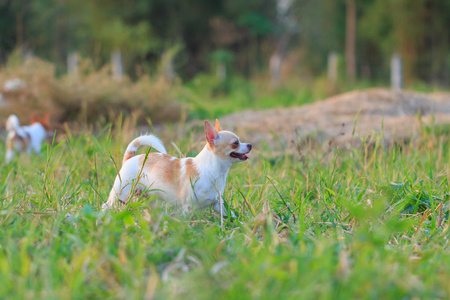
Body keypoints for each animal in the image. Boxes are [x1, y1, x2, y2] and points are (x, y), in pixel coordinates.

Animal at [101, 119, 253, 220]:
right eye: (236, 143)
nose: (250, 145)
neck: (214, 171)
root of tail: (130, 158)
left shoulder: (218, 205)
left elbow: (231, 215)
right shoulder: (188, 207)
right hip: (120, 193)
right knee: (106, 205)